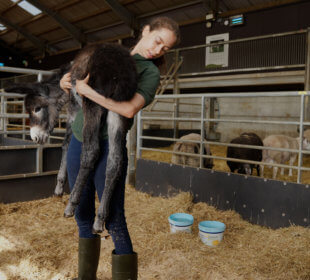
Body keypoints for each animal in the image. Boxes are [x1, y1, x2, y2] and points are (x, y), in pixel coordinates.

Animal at [4, 43, 138, 232]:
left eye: (37, 109)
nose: (35, 138)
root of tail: (121, 67)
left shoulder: (74, 109)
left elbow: (66, 144)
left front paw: (59, 186)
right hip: (117, 111)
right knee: (115, 161)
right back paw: (100, 219)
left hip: (93, 103)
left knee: (91, 152)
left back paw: (71, 205)